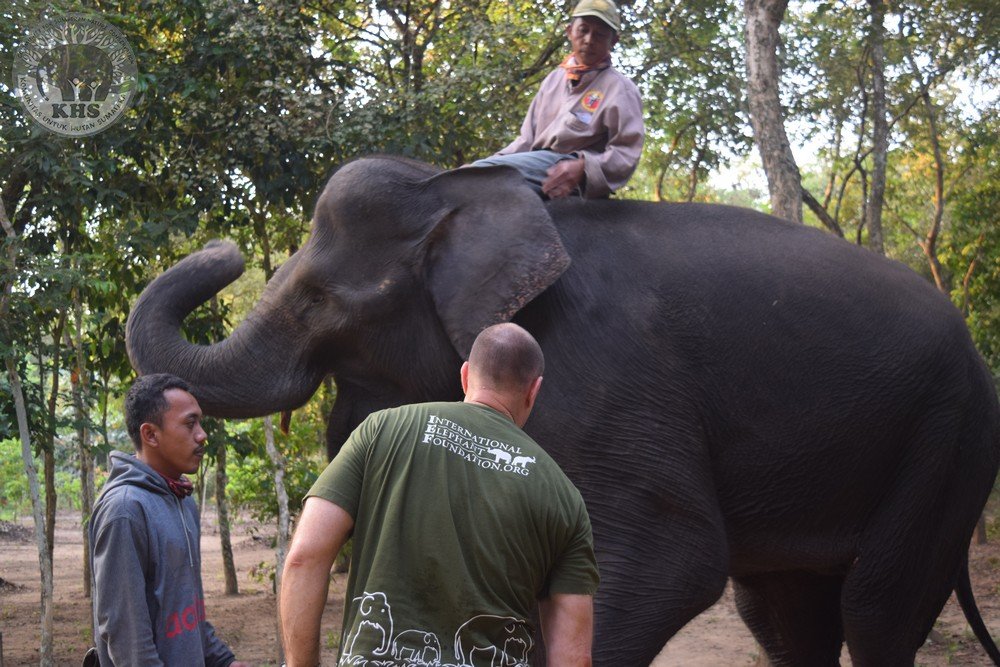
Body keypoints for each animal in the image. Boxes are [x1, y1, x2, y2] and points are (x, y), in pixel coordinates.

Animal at [126, 155, 1000, 666]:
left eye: (316, 300)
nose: (226, 250)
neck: (459, 190)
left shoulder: (613, 373)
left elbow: (674, 556)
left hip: (950, 437)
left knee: (875, 608)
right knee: (786, 613)